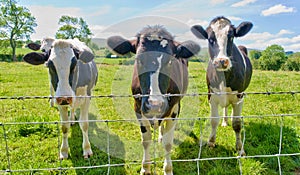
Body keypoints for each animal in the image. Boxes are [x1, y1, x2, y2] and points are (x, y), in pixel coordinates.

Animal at [106, 25, 200, 175]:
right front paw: (145, 168)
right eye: (138, 59)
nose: (155, 105)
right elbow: (146, 140)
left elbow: (168, 142)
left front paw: (168, 169)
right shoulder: (138, 108)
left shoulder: (174, 109)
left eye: (170, 61)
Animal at [191, 16, 252, 156]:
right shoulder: (211, 96)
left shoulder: (239, 97)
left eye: (231, 37)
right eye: (210, 38)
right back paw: (224, 121)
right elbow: (214, 120)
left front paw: (240, 149)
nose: (221, 61)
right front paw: (211, 142)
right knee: (225, 107)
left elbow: (237, 124)